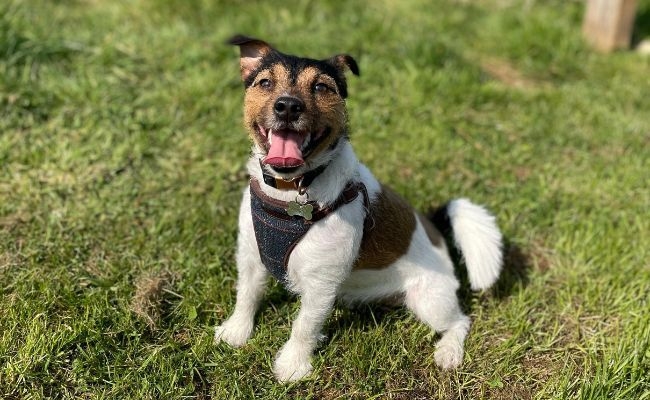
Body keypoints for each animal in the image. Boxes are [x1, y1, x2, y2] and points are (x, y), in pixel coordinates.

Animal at [214, 36, 502, 382]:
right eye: (265, 83)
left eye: (321, 87)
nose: (288, 106)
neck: (290, 192)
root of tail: (435, 232)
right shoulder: (251, 257)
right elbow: (247, 295)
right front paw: (236, 332)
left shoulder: (321, 284)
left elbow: (304, 326)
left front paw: (292, 366)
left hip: (430, 300)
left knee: (460, 321)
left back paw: (449, 352)